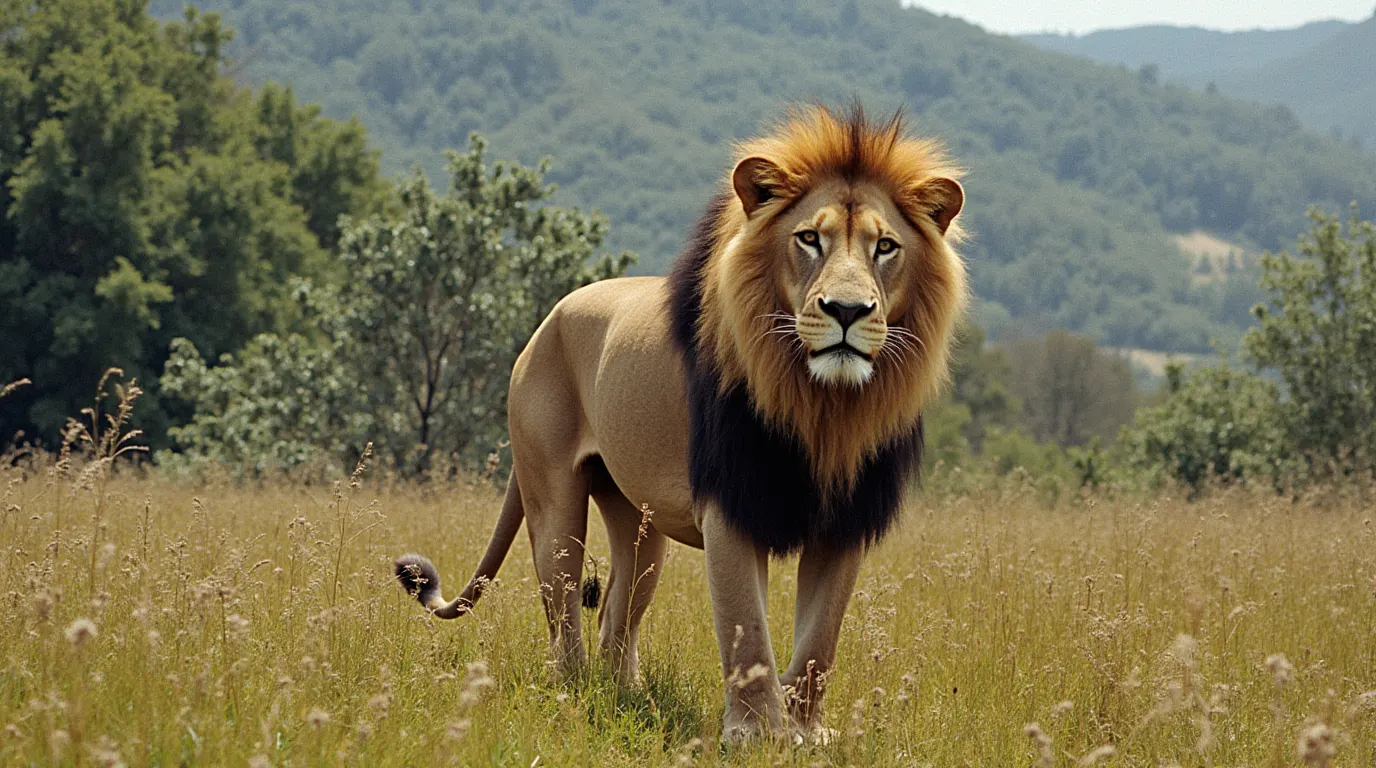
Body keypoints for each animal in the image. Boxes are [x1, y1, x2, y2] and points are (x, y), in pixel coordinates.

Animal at [395, 104, 967, 742]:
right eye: (809, 239)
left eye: (885, 246)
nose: (847, 311)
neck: (824, 409)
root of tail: (547, 320)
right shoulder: (732, 507)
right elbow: (747, 633)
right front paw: (756, 735)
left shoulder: (845, 521)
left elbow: (820, 642)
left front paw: (806, 734)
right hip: (553, 499)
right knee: (563, 609)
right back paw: (572, 693)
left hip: (639, 523)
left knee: (616, 610)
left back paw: (626, 695)